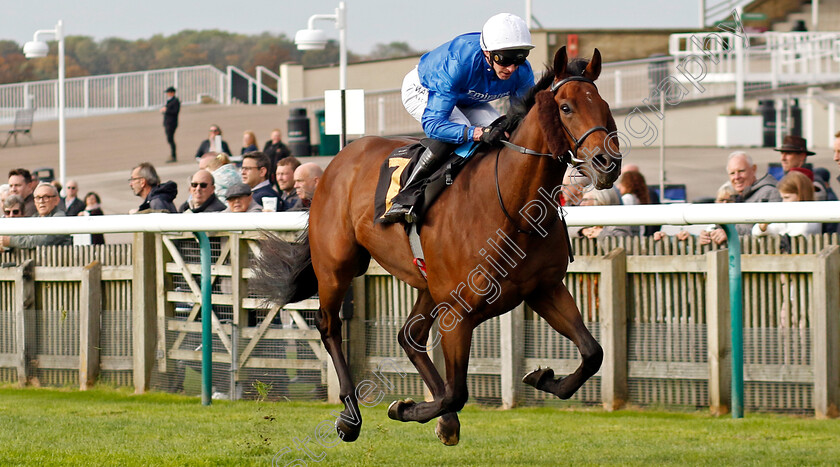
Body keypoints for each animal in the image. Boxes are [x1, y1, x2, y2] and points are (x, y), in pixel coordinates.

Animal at [256, 46, 624, 446]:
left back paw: (443, 421)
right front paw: (404, 409)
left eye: (605, 106)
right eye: (566, 107)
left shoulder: (544, 288)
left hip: (429, 284)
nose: (608, 162)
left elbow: (593, 352)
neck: (512, 207)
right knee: (329, 326)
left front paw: (543, 378)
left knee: (409, 335)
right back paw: (350, 417)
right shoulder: (458, 313)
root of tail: (338, 160)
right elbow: (456, 391)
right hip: (337, 265)